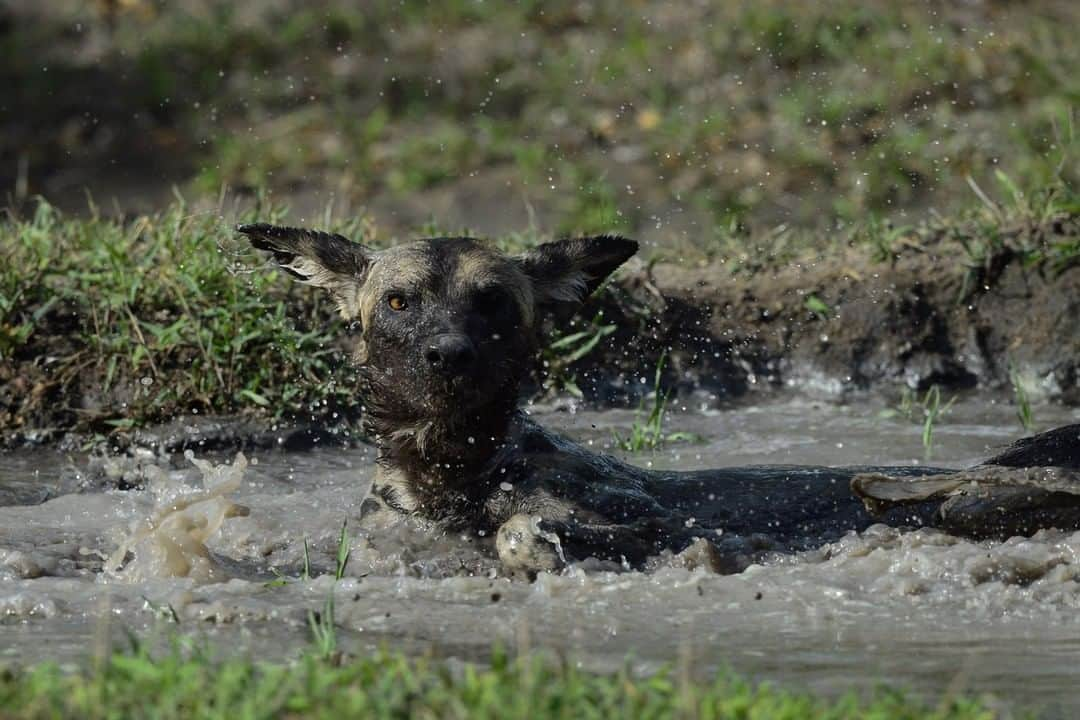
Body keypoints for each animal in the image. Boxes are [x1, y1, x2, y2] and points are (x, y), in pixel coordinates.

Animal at [240, 222, 1080, 578]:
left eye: (492, 304)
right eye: (400, 303)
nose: (449, 354)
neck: (454, 469)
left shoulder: (645, 522)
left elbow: (520, 531)